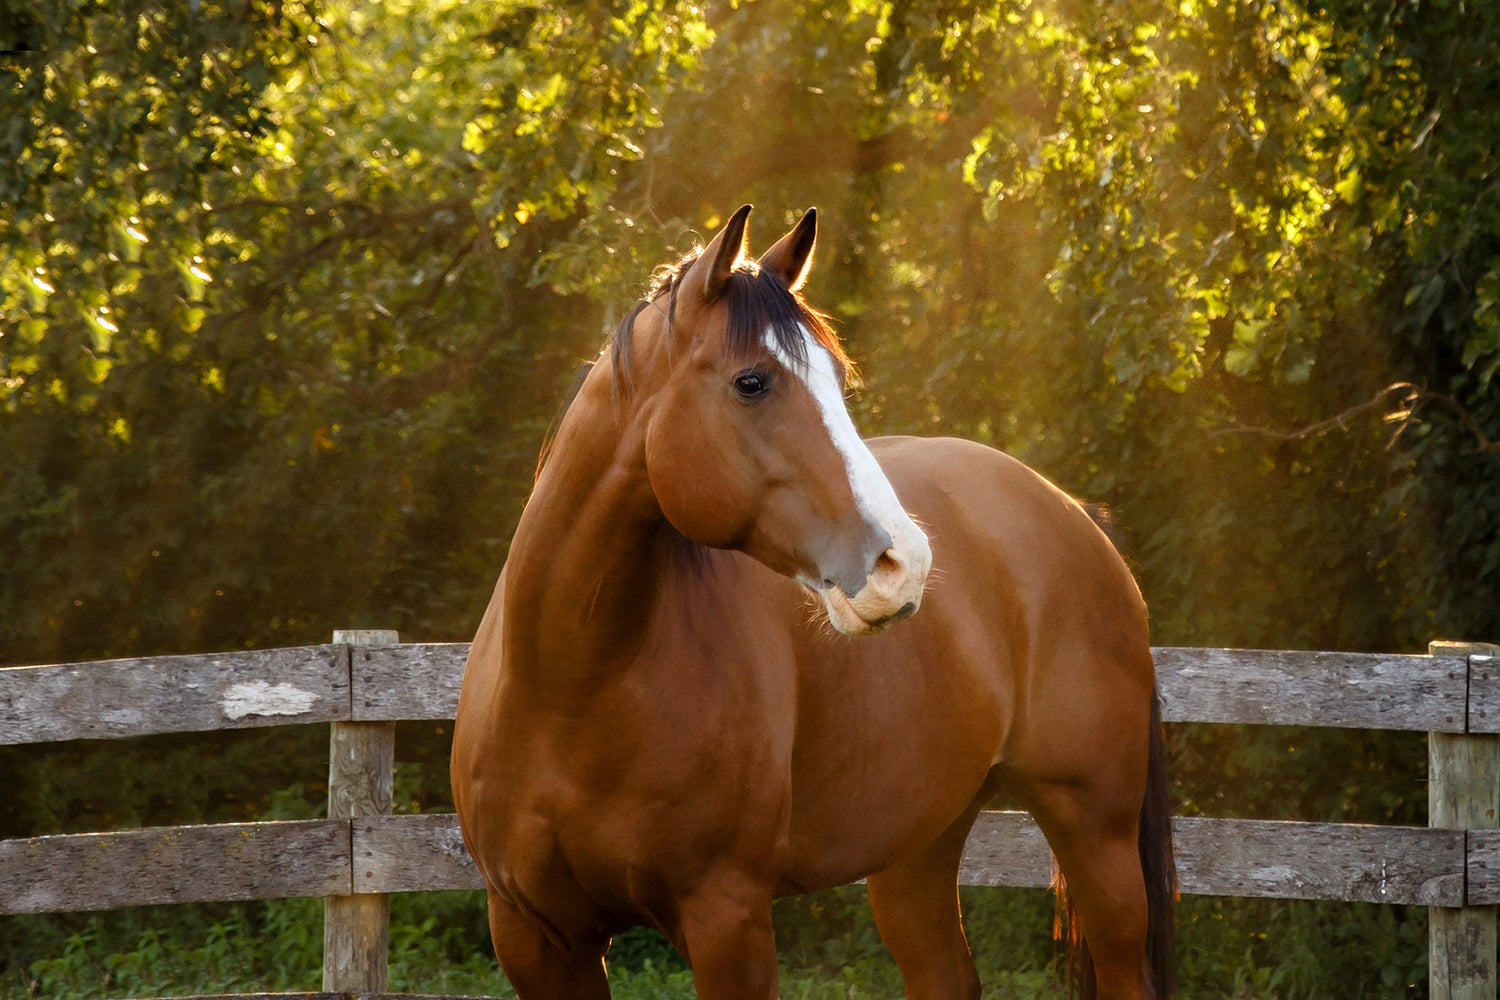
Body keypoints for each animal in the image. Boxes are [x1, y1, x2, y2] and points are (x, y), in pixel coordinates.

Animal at [451, 204, 1176, 1000]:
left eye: (835, 377)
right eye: (752, 382)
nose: (905, 565)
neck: (568, 690)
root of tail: (1077, 516)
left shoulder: (729, 920)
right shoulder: (535, 935)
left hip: (1097, 837)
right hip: (919, 847)